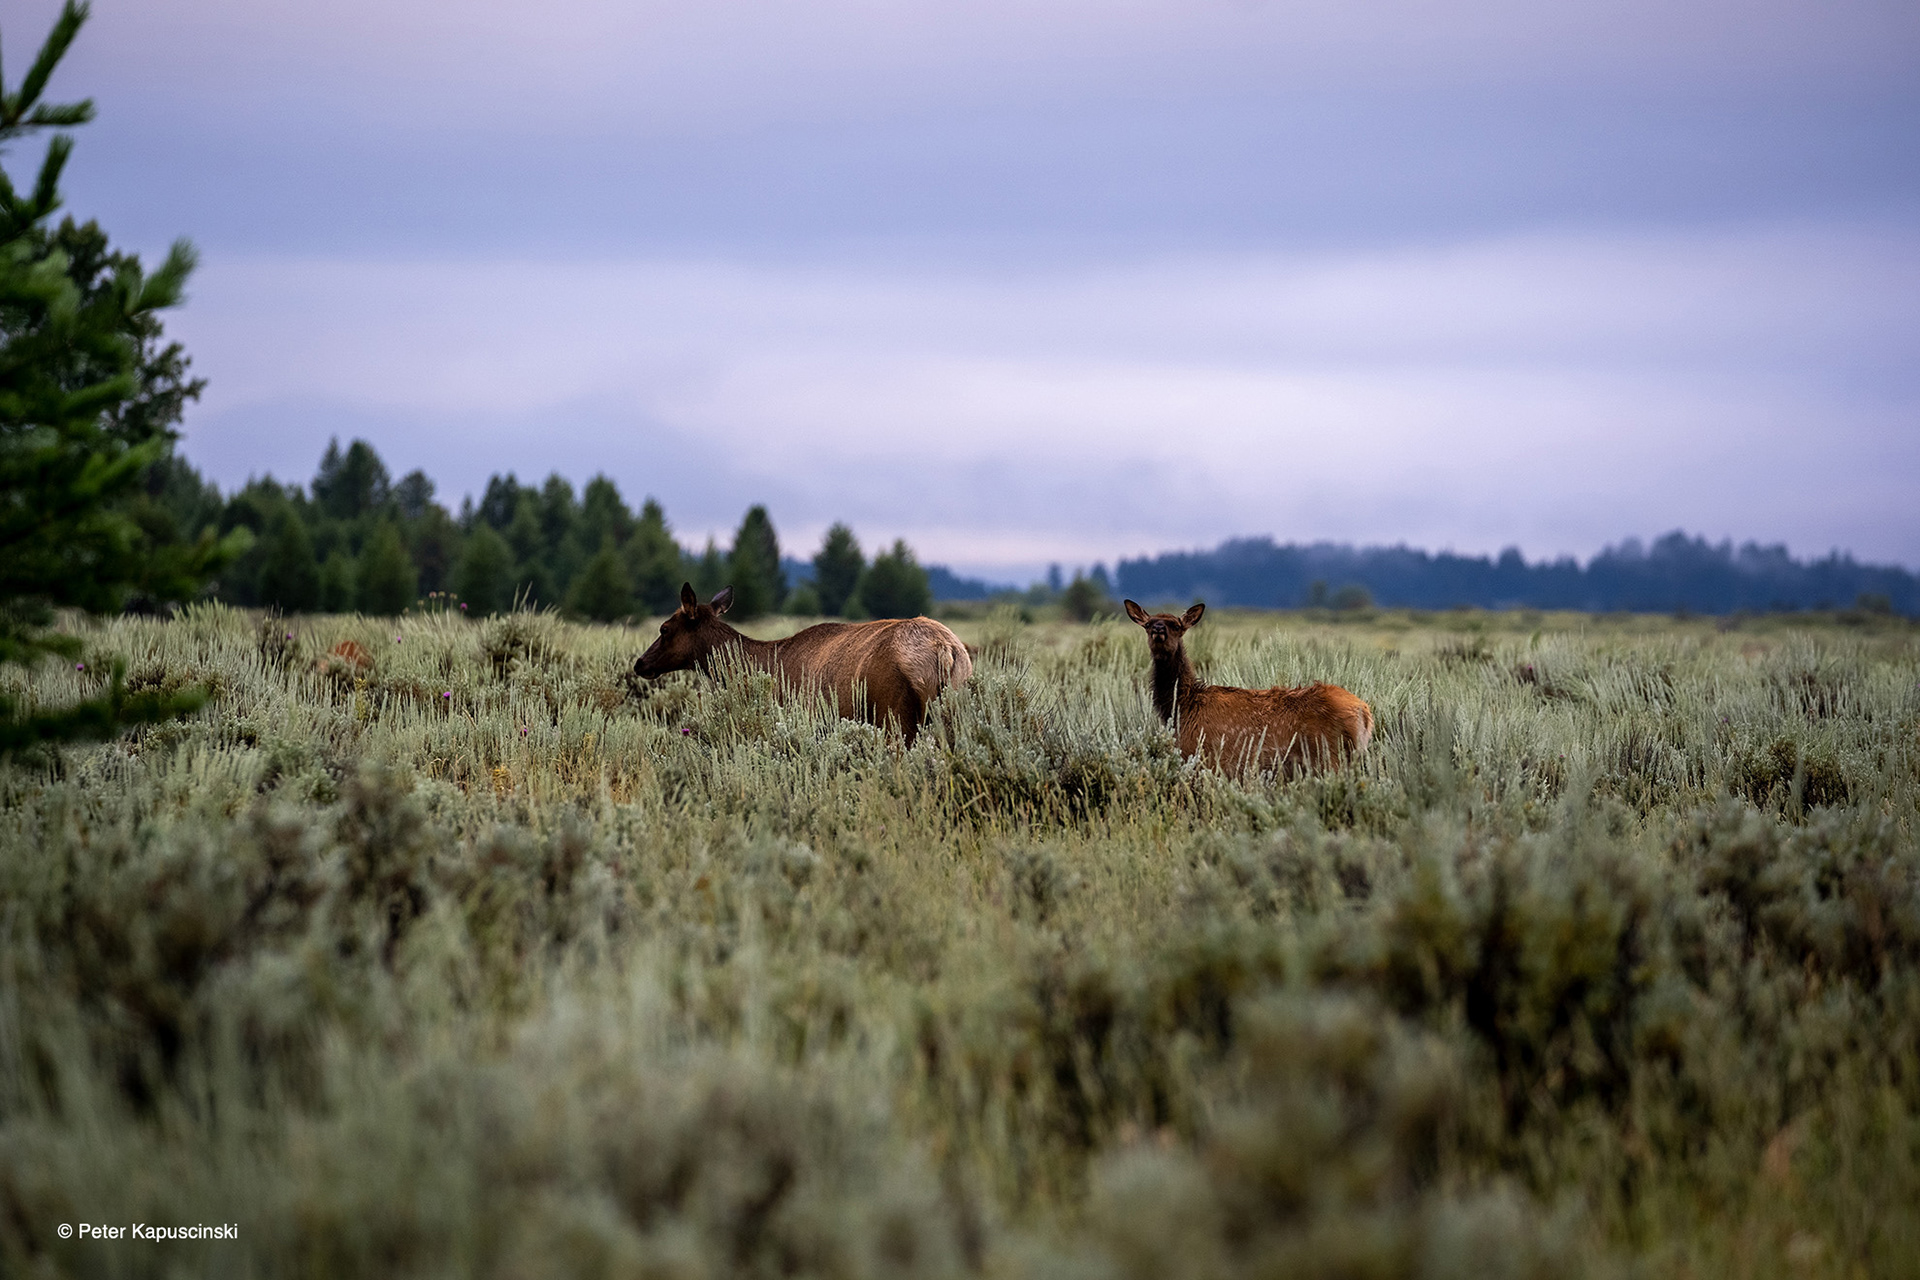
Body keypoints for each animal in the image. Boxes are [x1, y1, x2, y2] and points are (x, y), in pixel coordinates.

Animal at [1124, 599, 1372, 774]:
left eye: (1176, 625)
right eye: (1147, 624)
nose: (1158, 629)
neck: (1182, 707)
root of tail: (1365, 711)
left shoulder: (1204, 756)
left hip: (1331, 756)